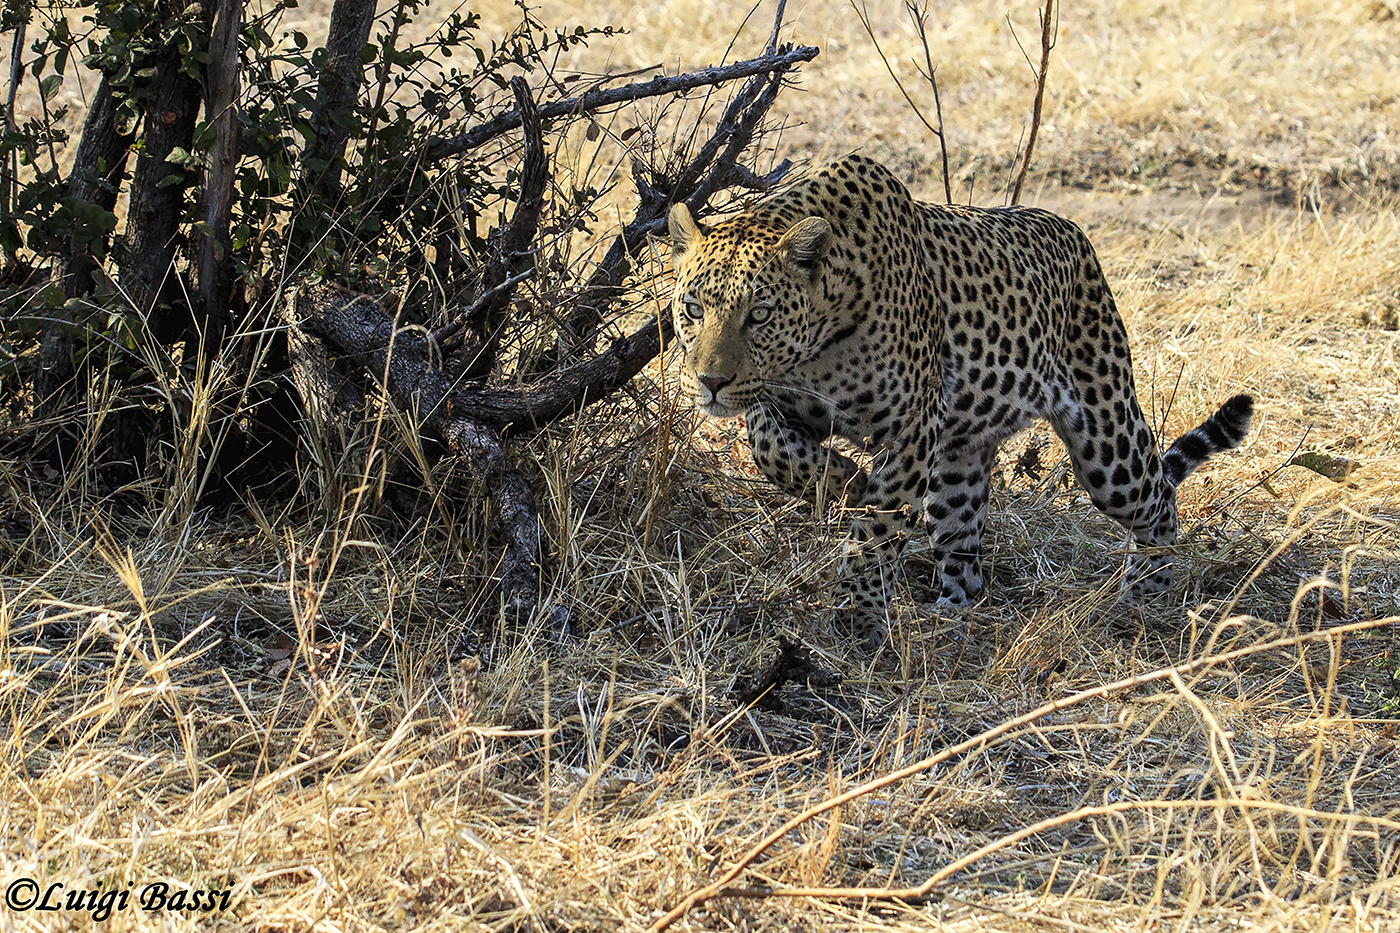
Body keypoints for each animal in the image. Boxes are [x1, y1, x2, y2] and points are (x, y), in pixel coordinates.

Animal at [667, 154, 1253, 644]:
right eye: (693, 309)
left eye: (760, 315)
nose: (709, 381)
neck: (819, 340)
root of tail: (1075, 235)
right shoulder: (781, 400)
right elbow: (770, 447)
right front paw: (842, 481)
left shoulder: (911, 429)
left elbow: (877, 531)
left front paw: (857, 615)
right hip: (960, 458)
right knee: (963, 545)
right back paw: (949, 611)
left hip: (1106, 443)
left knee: (1157, 491)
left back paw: (1146, 592)